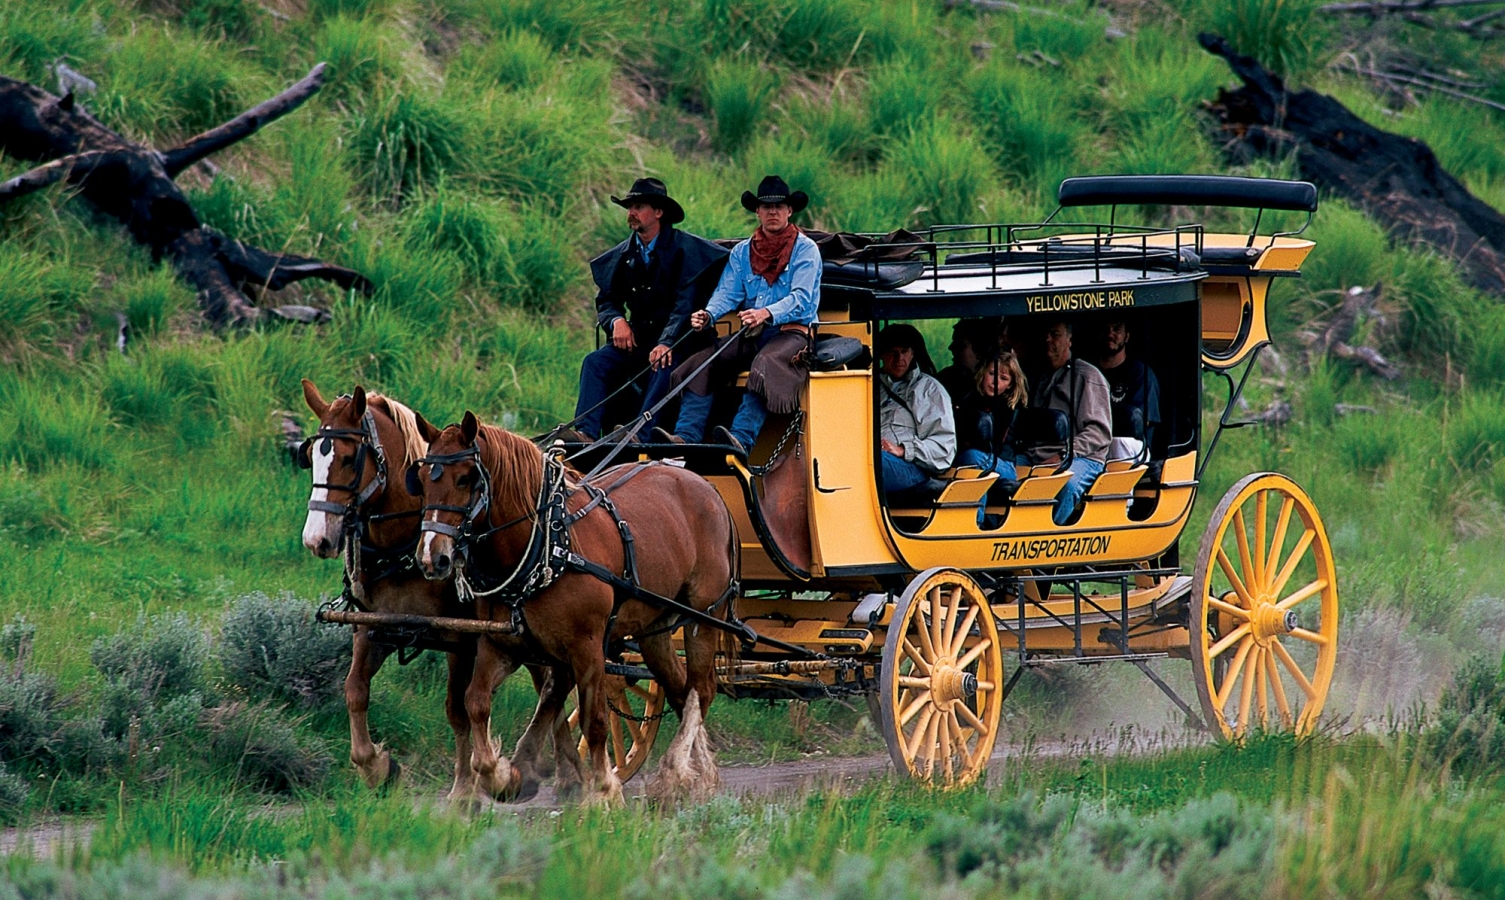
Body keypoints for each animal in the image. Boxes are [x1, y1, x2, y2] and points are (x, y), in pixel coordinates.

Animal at [299, 383, 580, 800]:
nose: (316, 539)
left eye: (350, 458)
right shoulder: (372, 626)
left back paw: (564, 772)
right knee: (549, 681)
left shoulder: (462, 639)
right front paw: (377, 766)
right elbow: (355, 690)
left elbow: (457, 708)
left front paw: (467, 789)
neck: (405, 543)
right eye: (311, 456)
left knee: (550, 681)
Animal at [412, 412, 740, 806]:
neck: (550, 544)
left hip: (703, 615)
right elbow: (477, 702)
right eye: (420, 481)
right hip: (653, 628)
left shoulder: (587, 647)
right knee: (679, 688)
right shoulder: (501, 644)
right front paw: (502, 775)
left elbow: (593, 720)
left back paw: (676, 770)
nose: (432, 557)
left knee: (700, 690)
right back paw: (699, 775)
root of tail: (706, 486)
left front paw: (603, 792)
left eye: (464, 478)